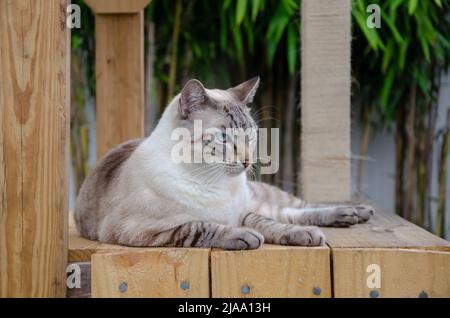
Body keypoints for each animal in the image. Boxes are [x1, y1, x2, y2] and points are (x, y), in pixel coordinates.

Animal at [75, 77, 374, 251]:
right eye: (223, 137)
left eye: (251, 134)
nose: (247, 160)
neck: (212, 183)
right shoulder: (140, 228)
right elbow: (200, 226)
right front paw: (246, 238)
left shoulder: (242, 212)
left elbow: (269, 225)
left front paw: (301, 235)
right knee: (289, 211)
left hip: (262, 197)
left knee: (295, 208)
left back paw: (355, 212)